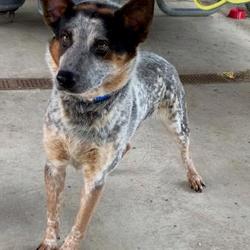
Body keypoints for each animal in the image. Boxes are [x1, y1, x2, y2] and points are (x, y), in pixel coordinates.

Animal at [37, 0, 205, 249]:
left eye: (102, 45)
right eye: (65, 36)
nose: (63, 77)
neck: (82, 110)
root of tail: (159, 58)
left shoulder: (94, 180)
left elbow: (79, 226)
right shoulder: (54, 164)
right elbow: (52, 213)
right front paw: (49, 241)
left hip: (178, 123)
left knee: (186, 152)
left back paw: (193, 176)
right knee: (126, 145)